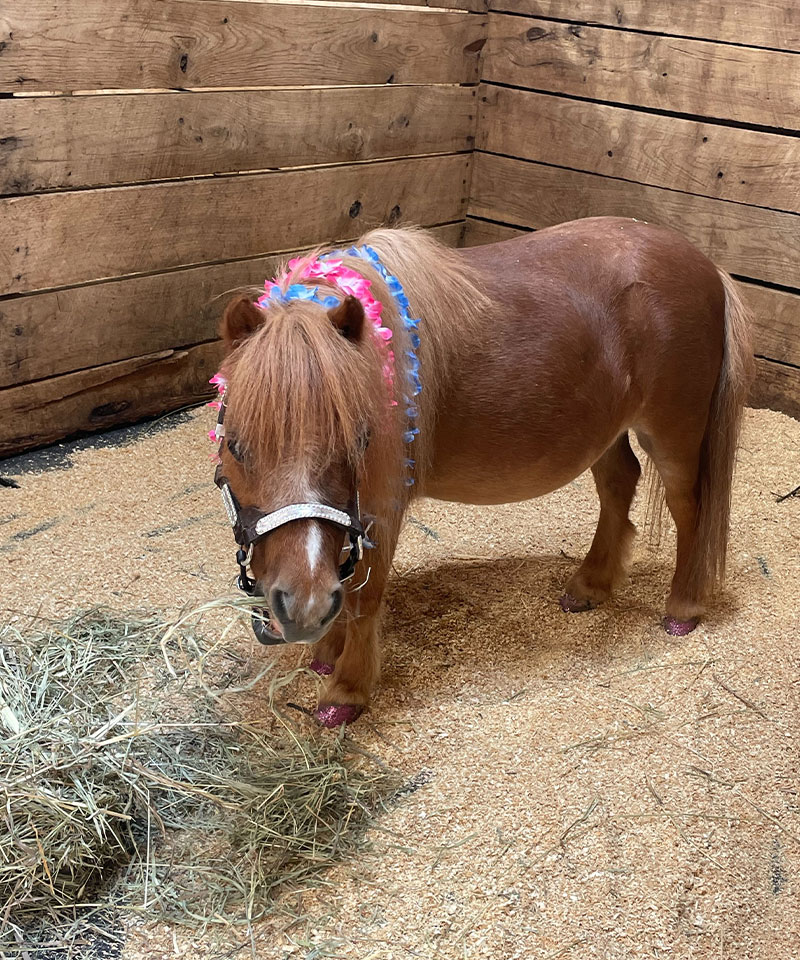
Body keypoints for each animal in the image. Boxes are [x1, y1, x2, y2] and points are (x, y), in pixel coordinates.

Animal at [210, 218, 754, 727]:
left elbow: (366, 594)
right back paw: (591, 585)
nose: (302, 609)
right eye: (236, 444)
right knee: (620, 483)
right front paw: (326, 653)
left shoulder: (380, 506)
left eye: (360, 439)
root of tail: (706, 266)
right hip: (606, 430)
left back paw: (683, 607)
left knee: (689, 509)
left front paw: (347, 689)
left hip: (674, 434)